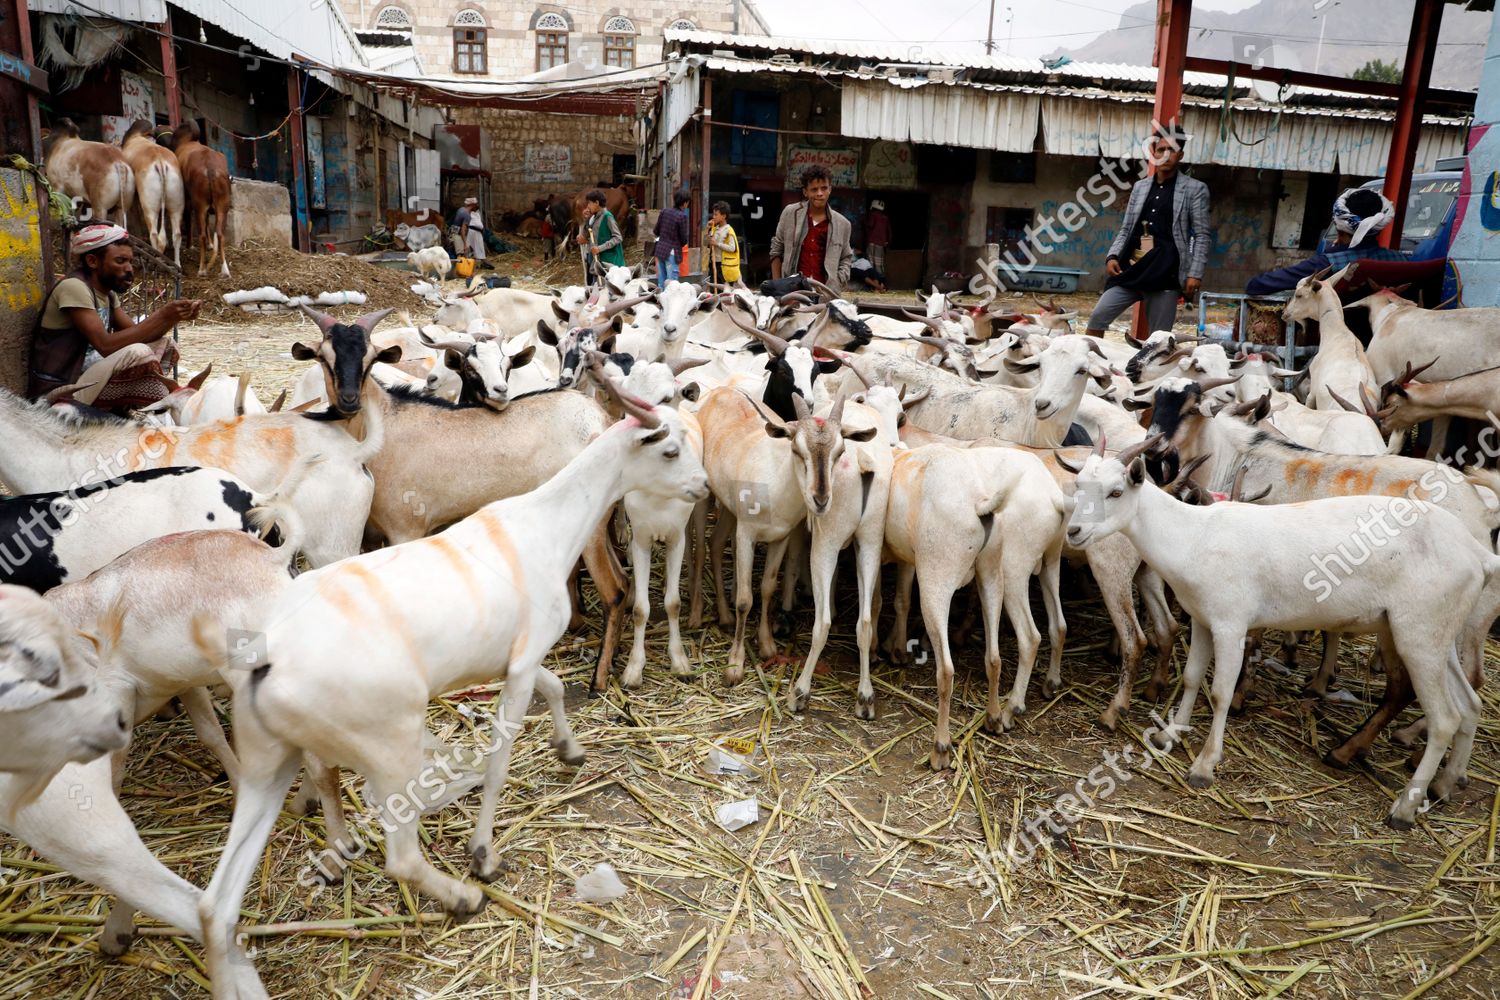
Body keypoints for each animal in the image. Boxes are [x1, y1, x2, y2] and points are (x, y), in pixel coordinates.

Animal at [171, 121, 229, 277]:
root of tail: (210, 167)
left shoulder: (187, 199)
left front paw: (189, 245)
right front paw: (210, 245)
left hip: (199, 205)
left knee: (202, 234)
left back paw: (202, 269)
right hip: (222, 205)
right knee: (220, 234)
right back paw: (225, 269)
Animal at [193, 361, 708, 995]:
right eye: (668, 448)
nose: (702, 487)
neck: (544, 524)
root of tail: (269, 658)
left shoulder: (513, 658)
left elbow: (554, 687)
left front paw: (569, 750)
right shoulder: (521, 664)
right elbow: (500, 760)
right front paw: (484, 853)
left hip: (268, 762)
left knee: (217, 904)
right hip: (388, 745)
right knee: (401, 856)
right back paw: (461, 897)